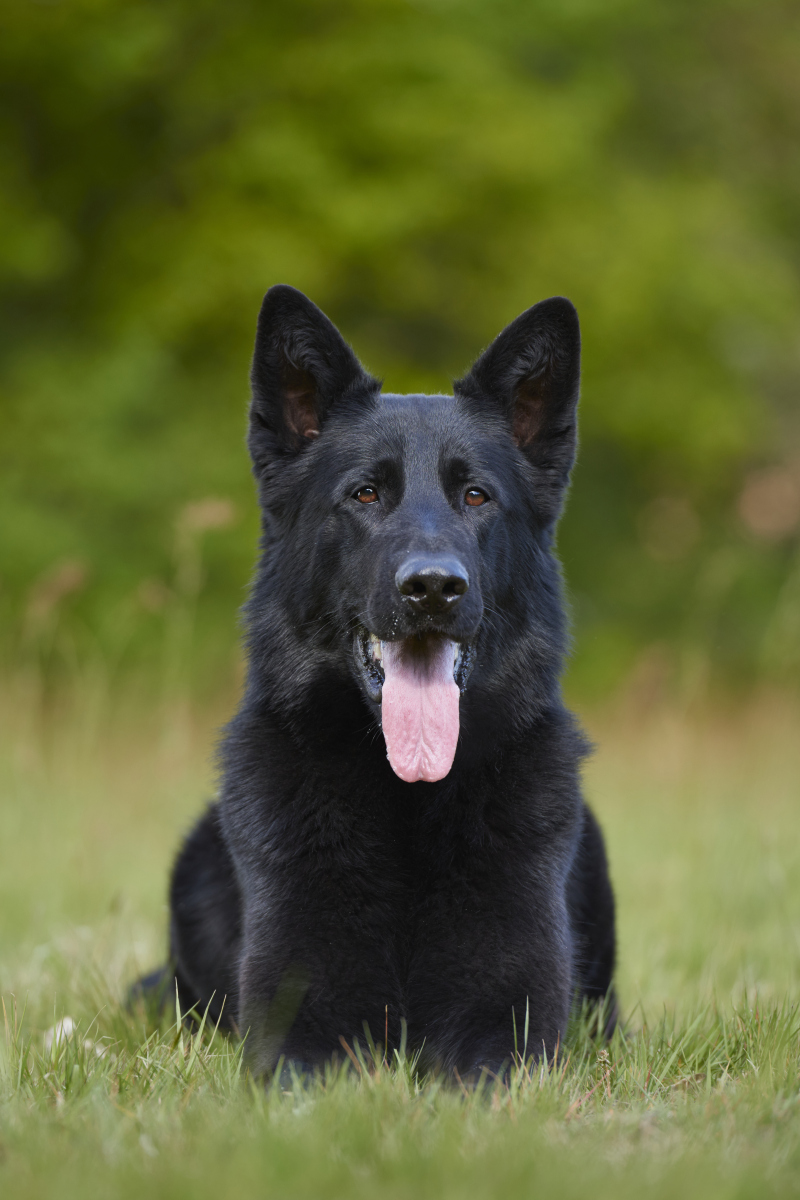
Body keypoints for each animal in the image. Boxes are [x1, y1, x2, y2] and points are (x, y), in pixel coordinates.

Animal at [154, 288, 618, 1080]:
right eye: (365, 493)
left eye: (476, 496)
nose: (432, 587)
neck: (406, 801)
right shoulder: (299, 1023)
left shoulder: (511, 1023)